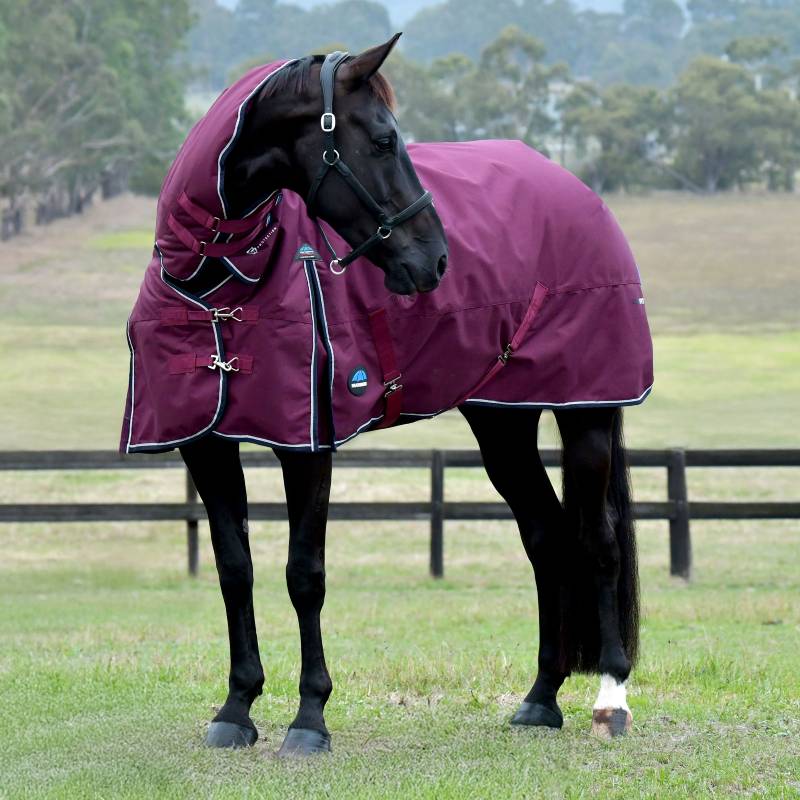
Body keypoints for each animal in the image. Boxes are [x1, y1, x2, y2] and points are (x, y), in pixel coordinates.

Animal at [122, 35, 649, 756]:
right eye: (382, 138)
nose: (436, 261)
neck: (219, 281)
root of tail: (578, 192)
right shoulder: (204, 445)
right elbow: (235, 569)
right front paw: (237, 707)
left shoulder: (307, 447)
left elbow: (304, 574)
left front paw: (309, 717)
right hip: (502, 423)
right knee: (546, 537)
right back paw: (541, 699)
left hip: (586, 414)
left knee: (598, 543)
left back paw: (611, 698)